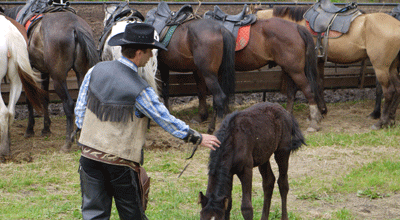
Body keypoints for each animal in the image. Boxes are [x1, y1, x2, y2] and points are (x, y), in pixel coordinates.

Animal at [4, 6, 99, 152]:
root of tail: (75, 26)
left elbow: (30, 99)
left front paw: (30, 129)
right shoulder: (44, 72)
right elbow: (45, 98)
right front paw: (46, 128)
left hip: (58, 78)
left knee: (69, 104)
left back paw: (68, 142)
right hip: (81, 73)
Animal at [255, 3, 400, 129]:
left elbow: (311, 85)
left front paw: (315, 114)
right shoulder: (319, 61)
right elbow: (319, 84)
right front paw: (322, 111)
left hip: (381, 67)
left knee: (389, 91)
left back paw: (381, 122)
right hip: (392, 67)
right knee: (397, 88)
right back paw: (391, 119)